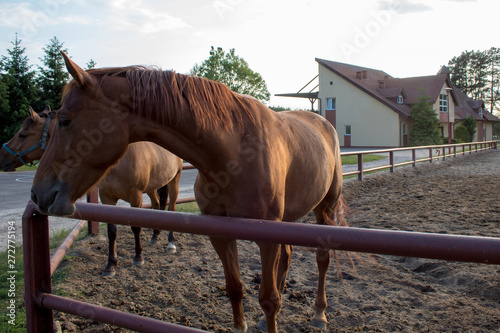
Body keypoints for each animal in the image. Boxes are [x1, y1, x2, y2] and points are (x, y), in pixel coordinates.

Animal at [0, 105, 183, 274]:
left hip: (174, 180)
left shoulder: (135, 196)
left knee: (171, 207)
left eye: (22, 134)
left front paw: (138, 257)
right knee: (156, 205)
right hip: (152, 187)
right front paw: (111, 265)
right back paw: (155, 236)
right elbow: (112, 231)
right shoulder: (107, 198)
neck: (120, 161)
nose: (2, 157)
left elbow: (136, 227)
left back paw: (171, 243)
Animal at [31, 52, 348, 332]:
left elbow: (269, 299)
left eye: (65, 121)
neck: (233, 153)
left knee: (322, 259)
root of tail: (323, 123)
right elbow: (234, 289)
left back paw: (319, 315)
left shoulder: (266, 237)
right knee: (288, 254)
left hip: (325, 208)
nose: (38, 194)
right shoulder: (220, 233)